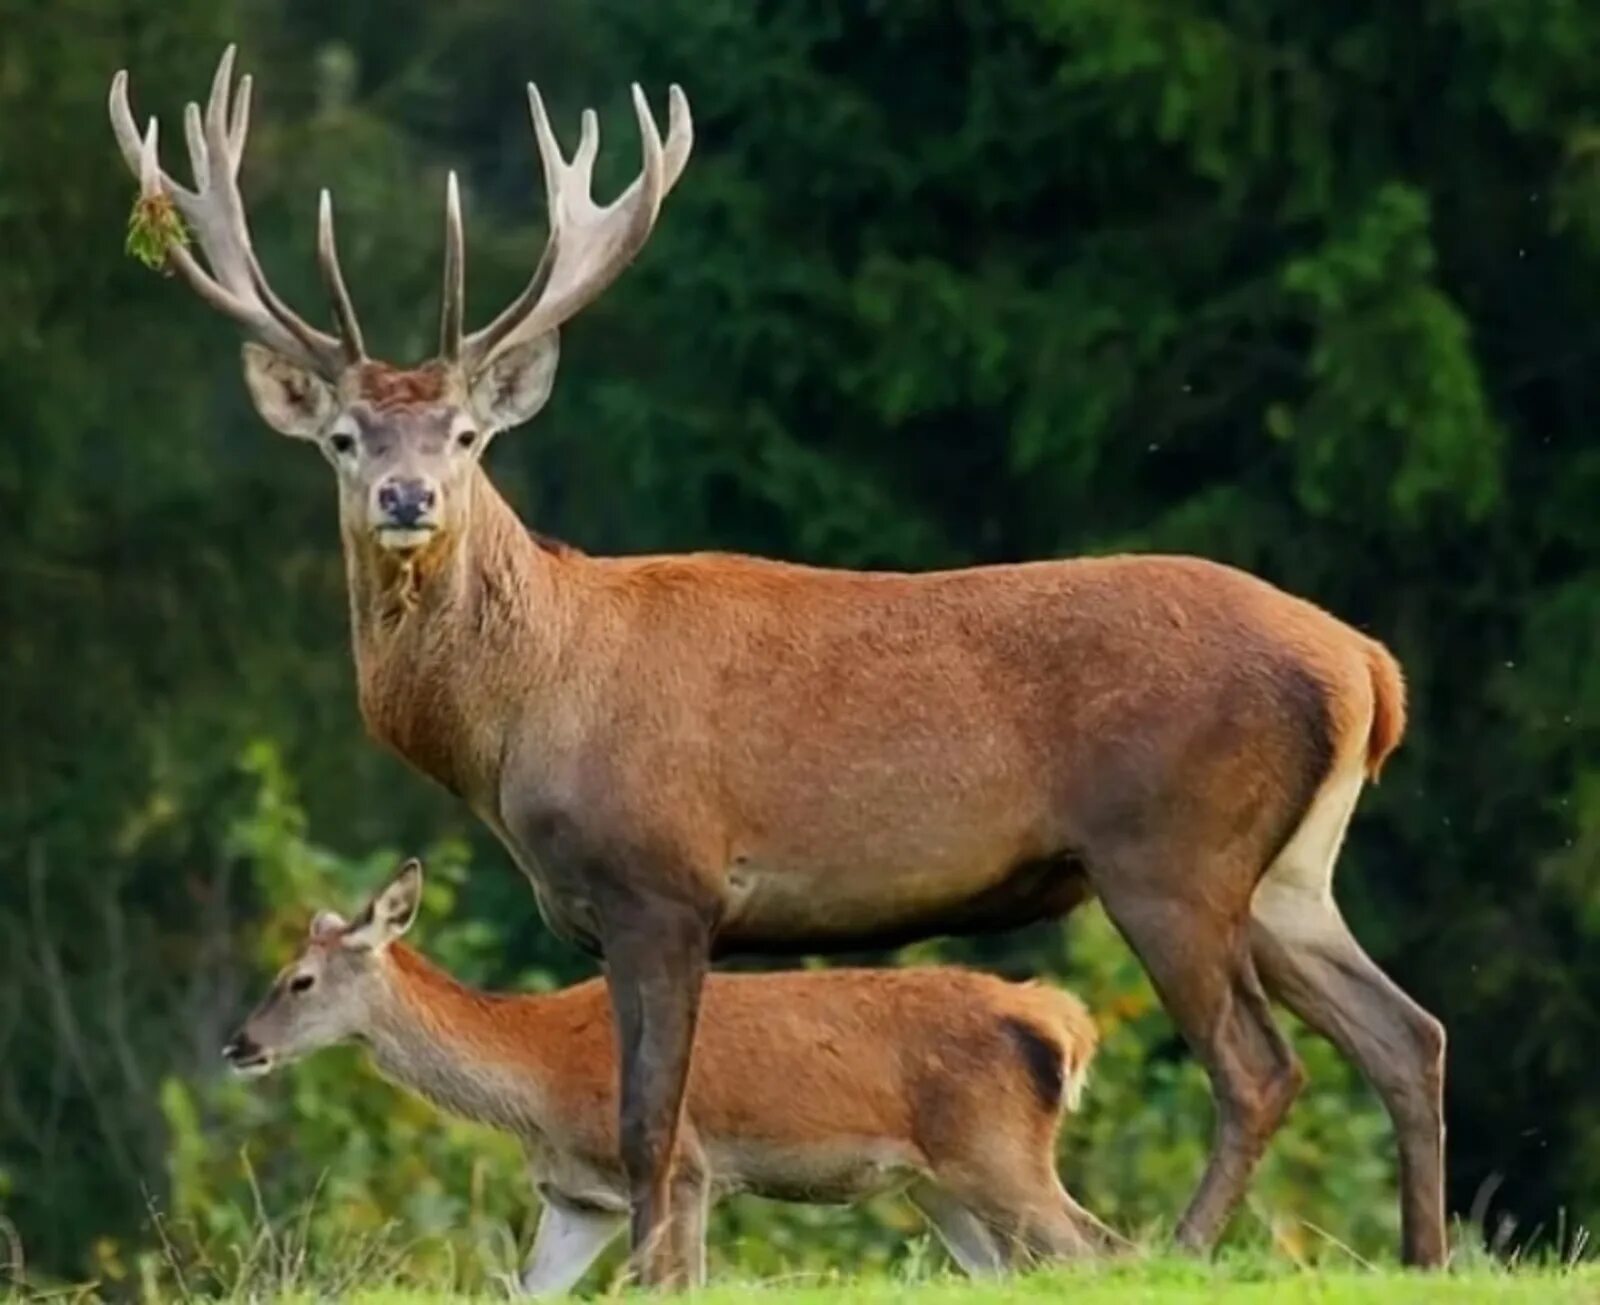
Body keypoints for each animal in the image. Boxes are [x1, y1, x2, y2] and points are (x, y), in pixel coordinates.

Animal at [228, 857, 1113, 1292]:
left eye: (299, 979)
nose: (238, 1045)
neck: (536, 1083)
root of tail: (1062, 1020)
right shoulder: (577, 1198)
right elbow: (525, 1288)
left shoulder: (685, 1164)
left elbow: (674, 1282)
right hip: (941, 1183)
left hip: (994, 1147)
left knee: (1097, 1246)